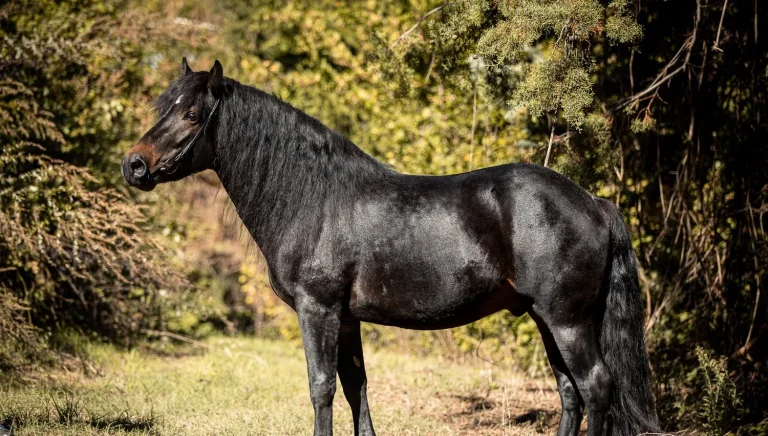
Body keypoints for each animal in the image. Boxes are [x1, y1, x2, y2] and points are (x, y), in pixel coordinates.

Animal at [122, 59, 659, 436]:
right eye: (163, 108)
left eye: (192, 114)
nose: (135, 165)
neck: (314, 198)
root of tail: (593, 202)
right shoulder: (345, 318)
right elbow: (355, 387)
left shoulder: (317, 310)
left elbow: (321, 389)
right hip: (545, 318)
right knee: (570, 393)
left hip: (566, 319)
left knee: (595, 387)